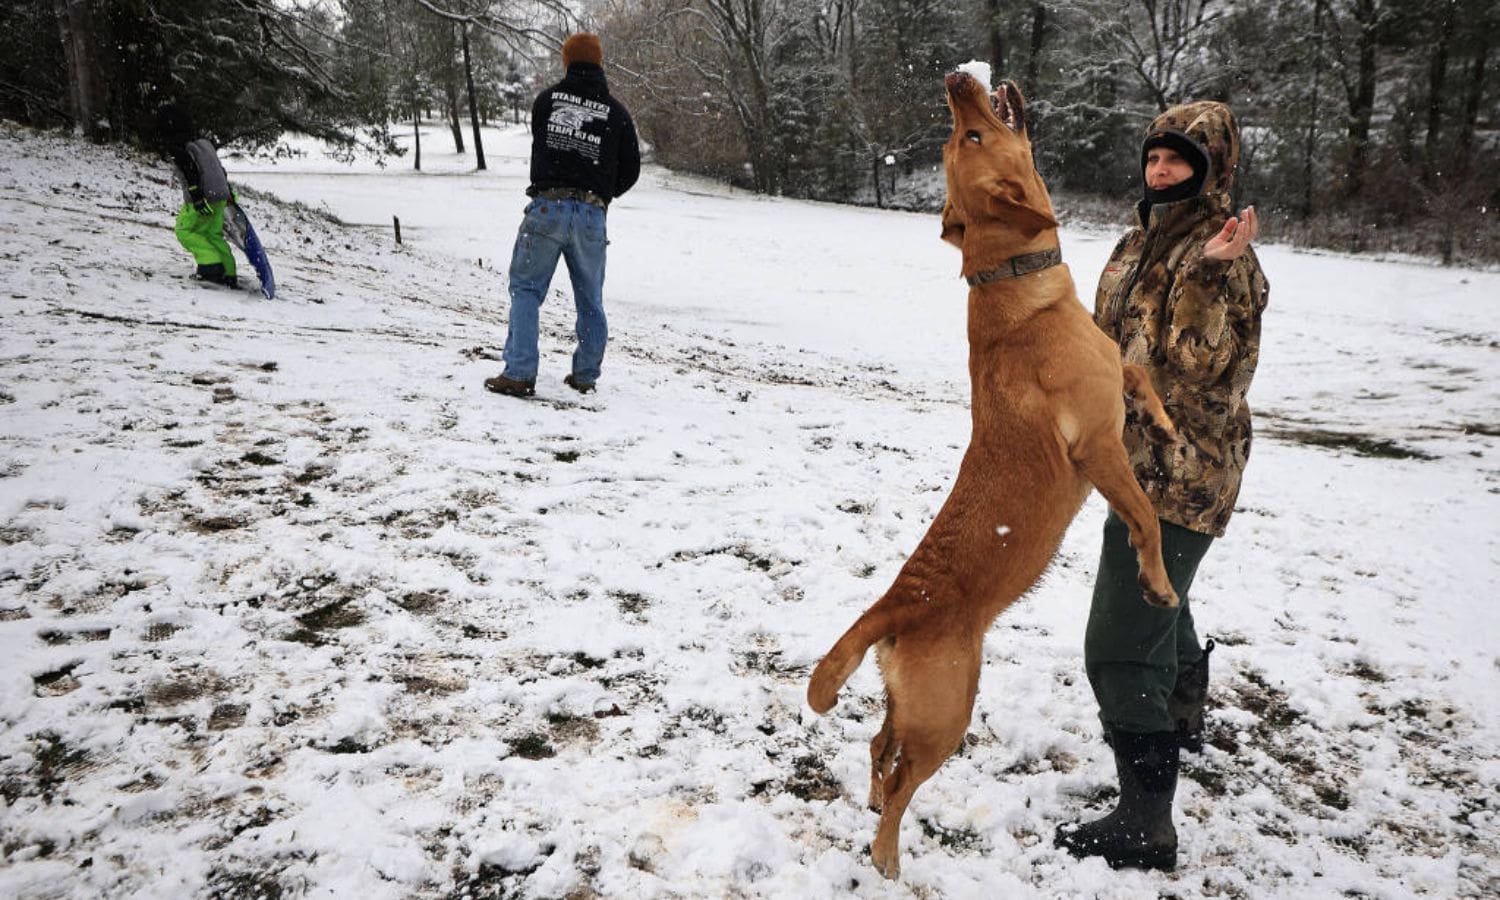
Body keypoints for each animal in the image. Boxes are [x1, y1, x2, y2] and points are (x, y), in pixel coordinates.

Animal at [810, 72, 1182, 876]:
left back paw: (873, 812)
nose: (956, 80)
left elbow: (1140, 373)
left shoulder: (1116, 379)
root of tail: (894, 605)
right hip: (946, 713)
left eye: (963, 136)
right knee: (901, 780)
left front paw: (1168, 426)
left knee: (878, 749)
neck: (1013, 284)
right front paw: (1158, 585)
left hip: (911, 706)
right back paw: (887, 858)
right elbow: (1142, 517)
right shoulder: (1098, 446)